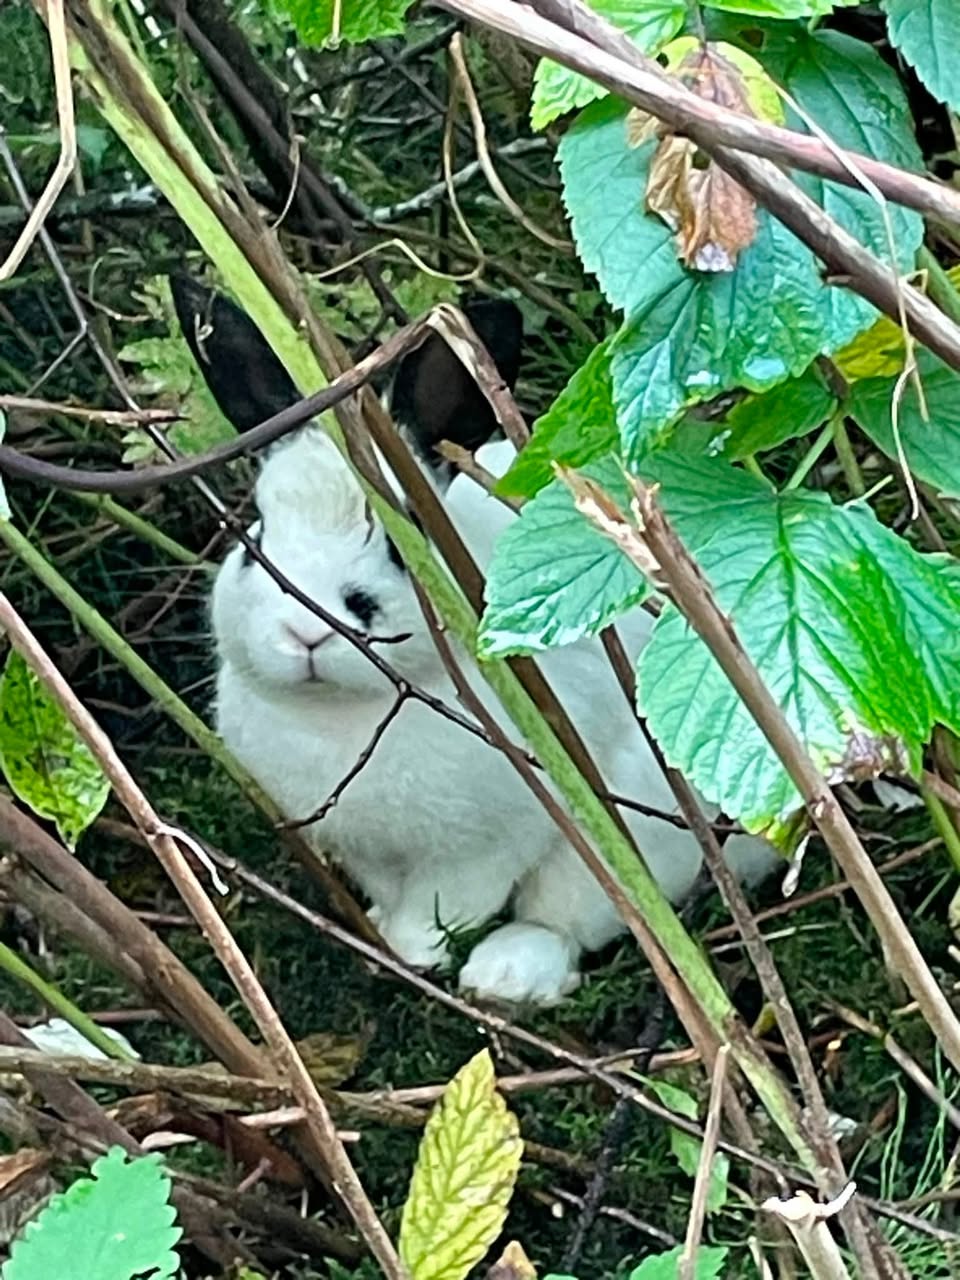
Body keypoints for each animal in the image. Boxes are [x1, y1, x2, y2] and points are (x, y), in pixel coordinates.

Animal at [171, 276, 778, 1005]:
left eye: (402, 543)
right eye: (254, 539)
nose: (307, 631)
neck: (342, 713)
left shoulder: (488, 844)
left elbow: (452, 902)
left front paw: (414, 951)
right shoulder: (367, 849)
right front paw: (382, 929)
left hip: (644, 828)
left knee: (580, 918)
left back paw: (507, 976)